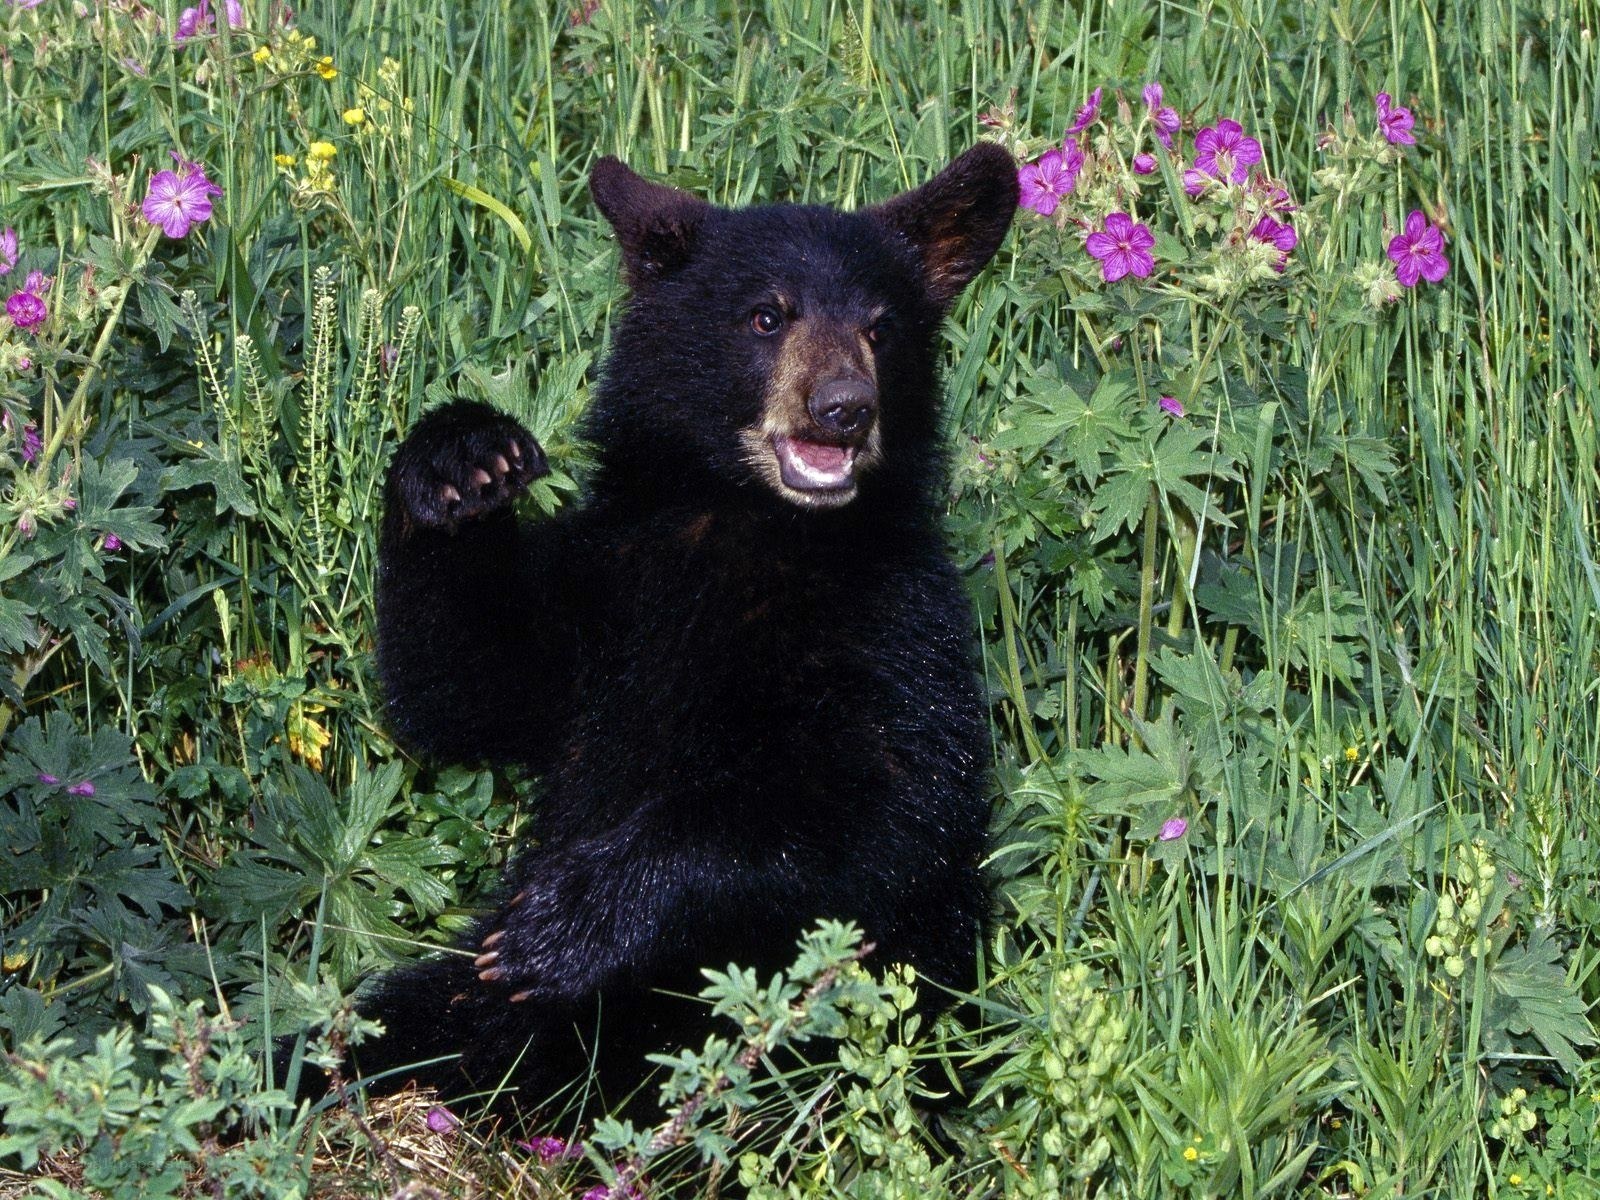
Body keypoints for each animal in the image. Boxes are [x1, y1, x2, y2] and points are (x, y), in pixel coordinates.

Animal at [296, 143, 1019, 1117]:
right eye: (766, 315)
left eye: (882, 328)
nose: (844, 407)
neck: (751, 527)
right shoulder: (609, 587)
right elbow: (467, 684)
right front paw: (459, 461)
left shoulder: (901, 625)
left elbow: (882, 808)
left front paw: (569, 922)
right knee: (399, 1024)